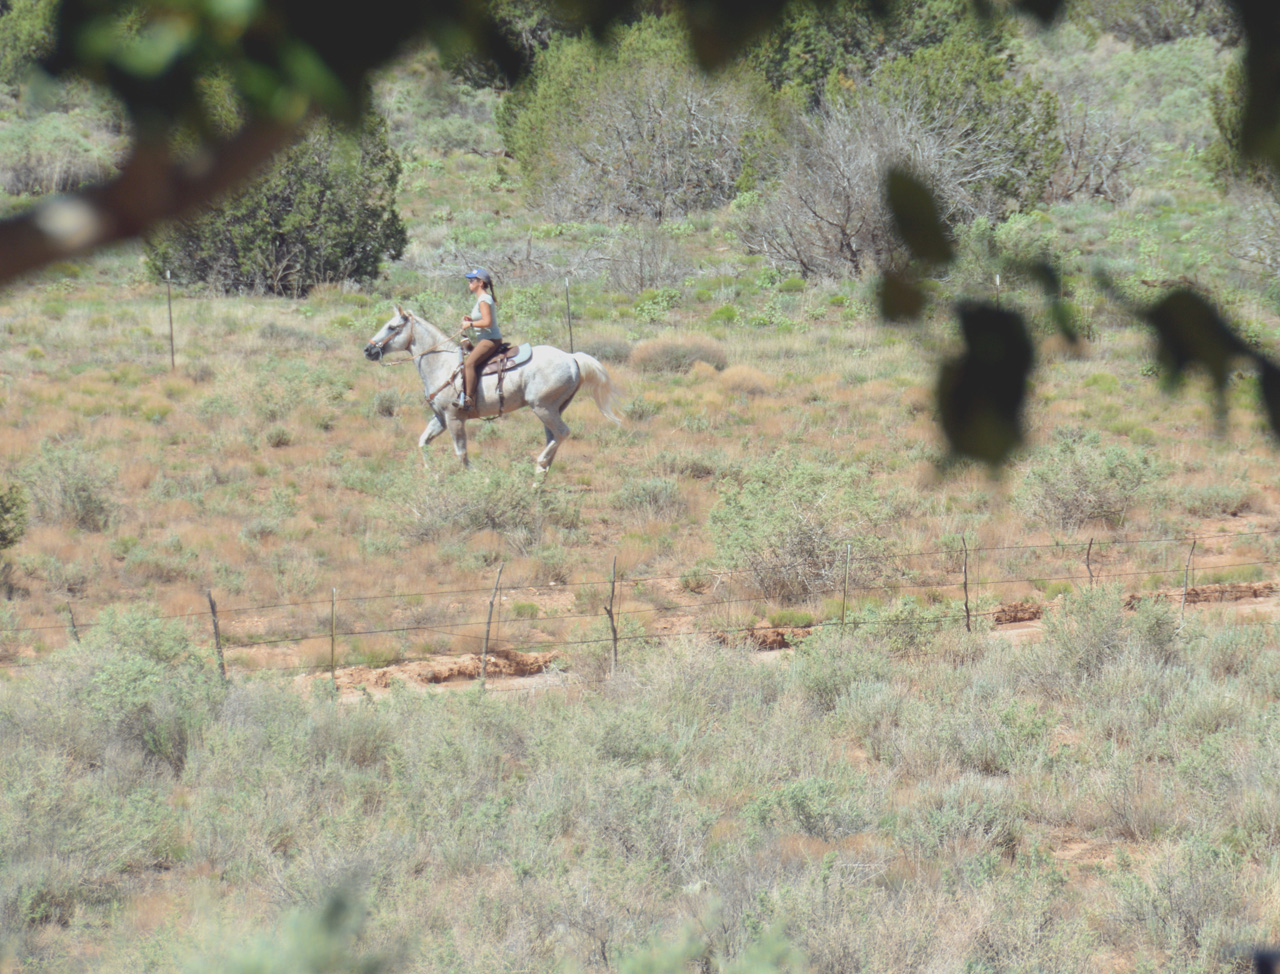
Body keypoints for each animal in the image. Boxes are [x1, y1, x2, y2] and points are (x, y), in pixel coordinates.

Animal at [363, 304, 622, 471]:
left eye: (392, 327)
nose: (368, 349)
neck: (442, 364)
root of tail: (571, 358)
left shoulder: (455, 418)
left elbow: (462, 454)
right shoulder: (440, 418)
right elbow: (423, 443)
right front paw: (432, 476)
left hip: (543, 407)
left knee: (563, 433)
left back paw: (539, 464)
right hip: (552, 410)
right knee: (554, 438)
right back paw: (538, 480)